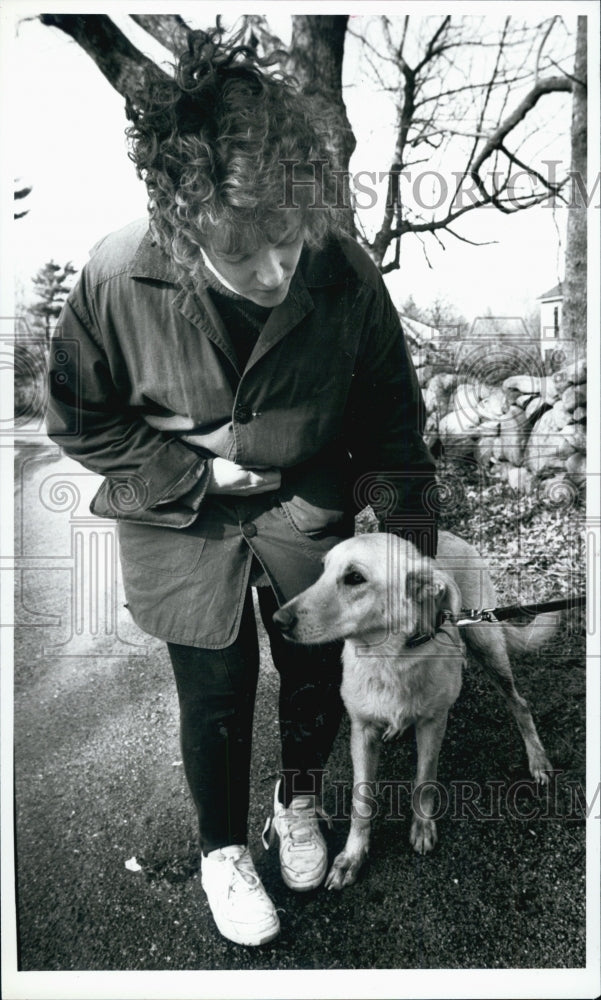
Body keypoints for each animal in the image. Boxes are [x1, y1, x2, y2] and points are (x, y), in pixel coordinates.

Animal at [272, 532, 552, 892]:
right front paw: (352, 857)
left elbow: (424, 778)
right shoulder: (362, 732)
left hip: (486, 645)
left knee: (520, 705)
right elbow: (361, 801)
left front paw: (422, 826)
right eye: (322, 570)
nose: (278, 621)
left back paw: (538, 759)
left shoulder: (433, 723)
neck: (389, 659)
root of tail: (452, 535)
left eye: (355, 578)